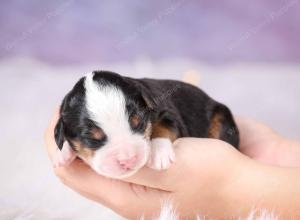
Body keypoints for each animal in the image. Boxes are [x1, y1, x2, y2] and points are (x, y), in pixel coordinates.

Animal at [52, 71, 238, 178]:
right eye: (91, 138)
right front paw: (64, 153)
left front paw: (159, 154)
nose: (128, 160)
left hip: (221, 118)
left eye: (138, 123)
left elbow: (162, 127)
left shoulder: (168, 113)